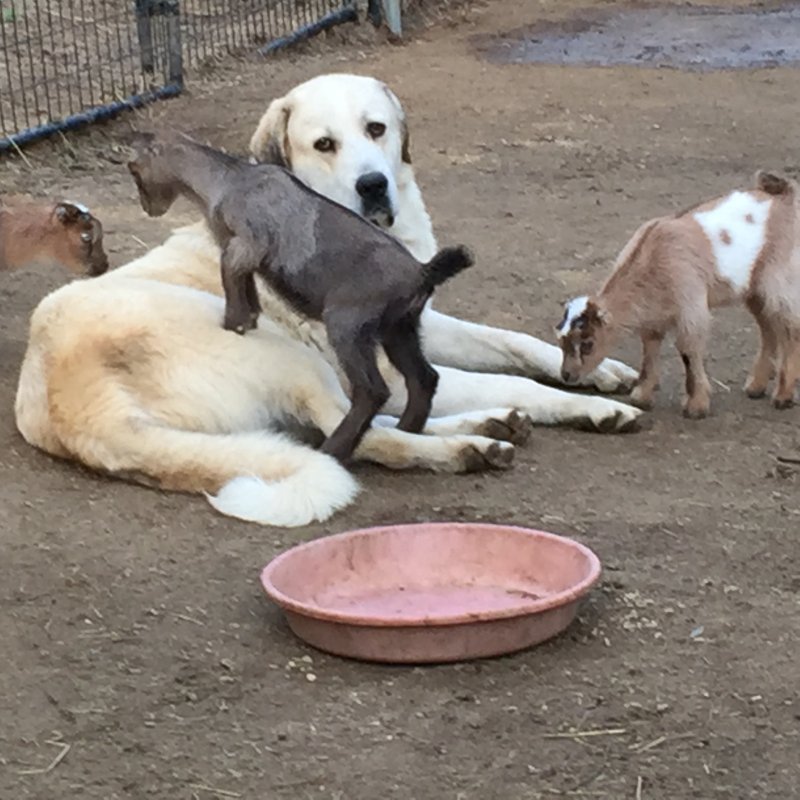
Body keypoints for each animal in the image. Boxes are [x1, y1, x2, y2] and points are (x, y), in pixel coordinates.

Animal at [14, 73, 636, 524]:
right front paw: (593, 408)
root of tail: (77, 410)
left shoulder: (423, 324)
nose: (373, 185)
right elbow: (510, 380)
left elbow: (511, 343)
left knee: (354, 425)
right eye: (324, 145)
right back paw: (469, 446)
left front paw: (595, 366)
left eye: (377, 129)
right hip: (290, 354)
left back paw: (491, 427)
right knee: (357, 430)